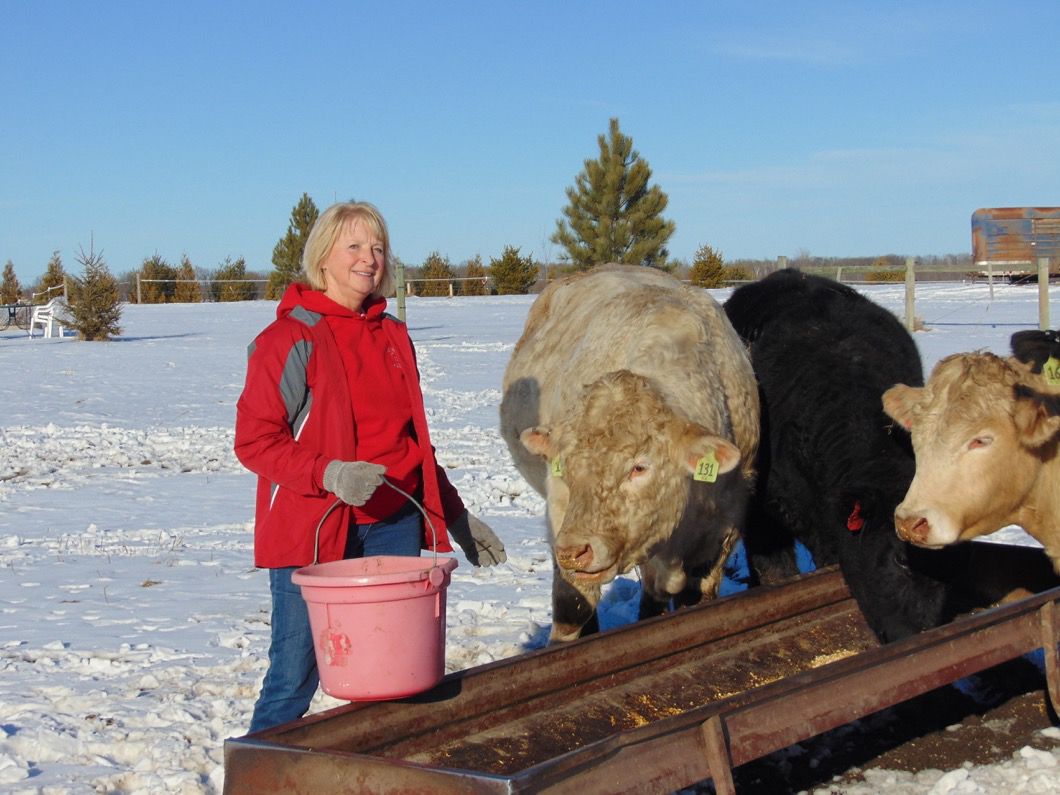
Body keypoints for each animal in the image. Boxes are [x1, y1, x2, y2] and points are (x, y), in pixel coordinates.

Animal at [500, 264, 759, 642]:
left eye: (639, 467)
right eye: (563, 466)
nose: (574, 550)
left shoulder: (720, 535)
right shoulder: (561, 512)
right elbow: (572, 607)